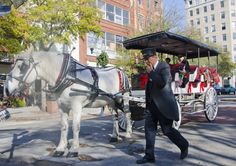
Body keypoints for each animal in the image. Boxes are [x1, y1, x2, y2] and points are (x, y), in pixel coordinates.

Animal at [5, 50, 133, 157]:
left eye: (23, 66)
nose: (6, 89)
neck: (67, 76)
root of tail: (120, 70)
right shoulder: (62, 107)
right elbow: (63, 126)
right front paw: (60, 149)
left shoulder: (76, 106)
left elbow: (75, 126)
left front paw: (74, 149)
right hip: (111, 101)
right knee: (115, 117)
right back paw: (114, 136)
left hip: (124, 97)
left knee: (127, 114)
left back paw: (128, 134)